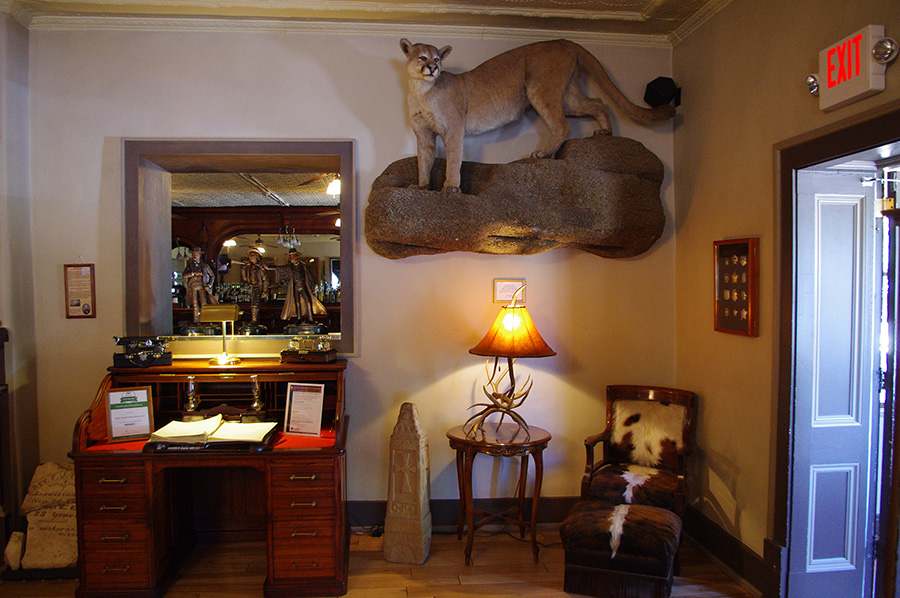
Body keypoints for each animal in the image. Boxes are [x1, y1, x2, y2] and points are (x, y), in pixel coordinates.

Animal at [400, 38, 676, 192]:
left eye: (438, 58)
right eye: (422, 56)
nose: (432, 67)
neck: (421, 90)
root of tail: (565, 40)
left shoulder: (454, 130)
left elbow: (454, 160)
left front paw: (450, 188)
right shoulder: (424, 135)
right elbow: (424, 160)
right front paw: (422, 186)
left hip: (541, 88)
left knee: (563, 125)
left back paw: (544, 153)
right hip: (568, 95)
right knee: (598, 103)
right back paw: (605, 131)